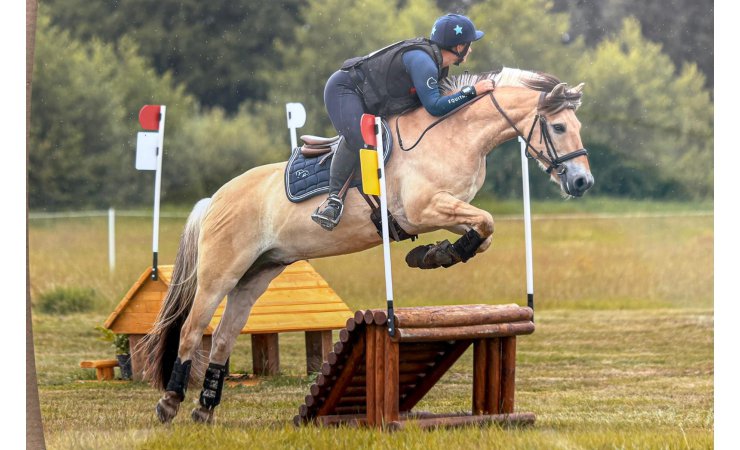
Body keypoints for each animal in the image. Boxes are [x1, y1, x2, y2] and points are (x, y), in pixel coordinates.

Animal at [139, 67, 594, 424]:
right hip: (220, 272)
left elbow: (483, 231)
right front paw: (436, 254)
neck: (456, 135)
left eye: (577, 128)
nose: (582, 182)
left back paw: (205, 408)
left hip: (256, 274)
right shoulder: (422, 208)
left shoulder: (448, 207)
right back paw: (170, 402)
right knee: (192, 329)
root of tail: (215, 198)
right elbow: (486, 222)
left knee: (222, 337)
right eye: (558, 127)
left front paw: (435, 254)